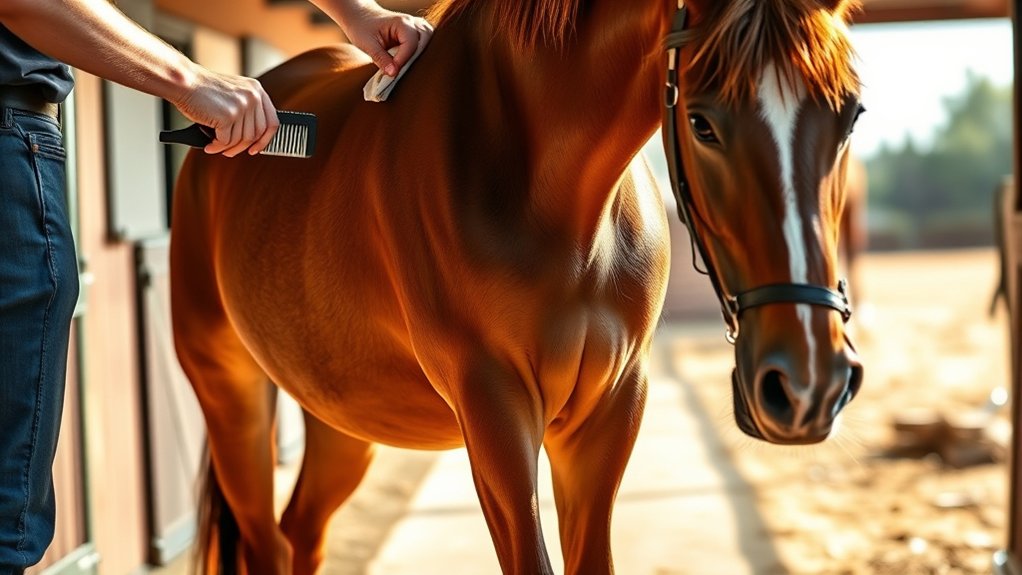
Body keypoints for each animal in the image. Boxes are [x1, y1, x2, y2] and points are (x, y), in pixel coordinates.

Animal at [169, 0, 865, 573]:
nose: (807, 386)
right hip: (231, 391)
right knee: (266, 540)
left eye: (851, 116)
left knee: (302, 531)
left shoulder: (611, 409)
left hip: (342, 412)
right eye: (701, 123)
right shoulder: (494, 408)